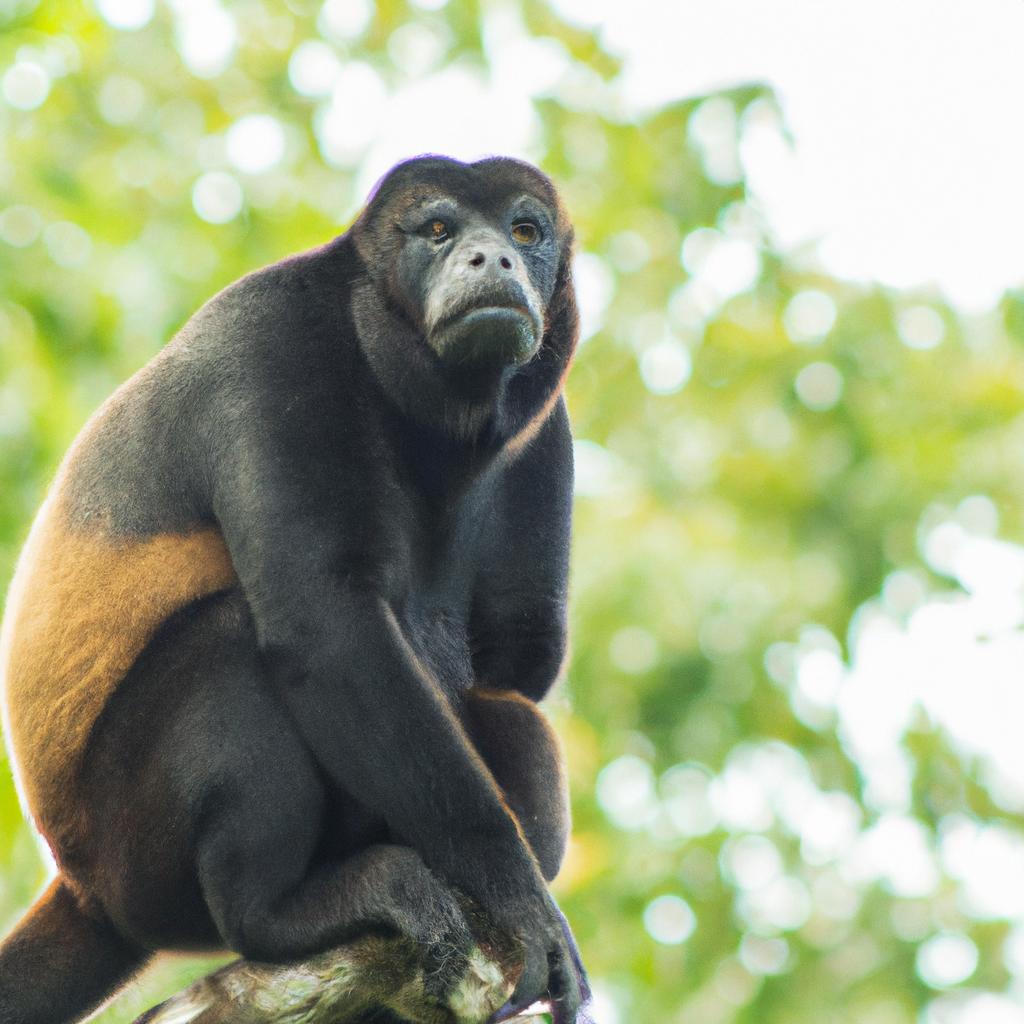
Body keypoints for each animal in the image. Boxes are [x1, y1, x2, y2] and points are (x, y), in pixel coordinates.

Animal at [0, 155, 589, 1024]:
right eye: (438, 230)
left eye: (525, 231)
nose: (494, 259)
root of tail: (82, 887)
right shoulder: (274, 349)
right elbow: (327, 626)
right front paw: (516, 894)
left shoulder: (550, 420)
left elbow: (520, 656)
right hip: (133, 857)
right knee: (231, 642)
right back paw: (280, 913)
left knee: (511, 712)